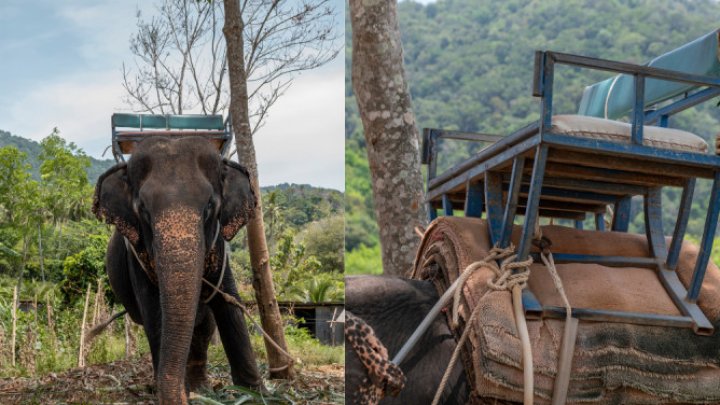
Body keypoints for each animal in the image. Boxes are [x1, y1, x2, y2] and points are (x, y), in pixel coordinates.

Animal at [93, 137, 262, 404]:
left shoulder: (219, 249)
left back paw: (201, 389)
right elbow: (155, 313)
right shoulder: (136, 258)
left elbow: (229, 304)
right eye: (143, 209)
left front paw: (257, 394)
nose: (181, 397)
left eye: (209, 206)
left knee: (204, 327)